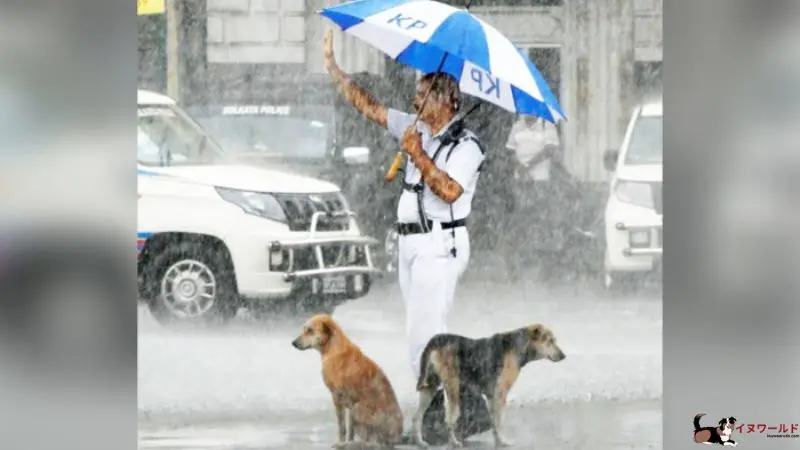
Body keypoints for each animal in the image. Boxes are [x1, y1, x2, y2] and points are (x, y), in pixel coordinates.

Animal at [292, 314, 404, 448]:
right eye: (304, 329)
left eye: (310, 330)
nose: (293, 343)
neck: (332, 348)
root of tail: (396, 438)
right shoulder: (349, 403)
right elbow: (350, 430)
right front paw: (348, 441)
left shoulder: (337, 397)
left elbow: (342, 427)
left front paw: (341, 442)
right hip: (355, 410)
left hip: (357, 409)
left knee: (373, 442)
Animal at [412, 324, 564, 446]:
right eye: (549, 341)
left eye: (554, 340)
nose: (563, 356)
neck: (518, 346)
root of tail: (436, 339)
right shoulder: (501, 394)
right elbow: (499, 422)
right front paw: (504, 441)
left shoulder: (492, 397)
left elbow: (494, 423)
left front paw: (498, 441)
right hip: (453, 388)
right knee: (449, 420)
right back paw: (454, 443)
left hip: (429, 388)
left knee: (417, 418)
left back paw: (420, 443)